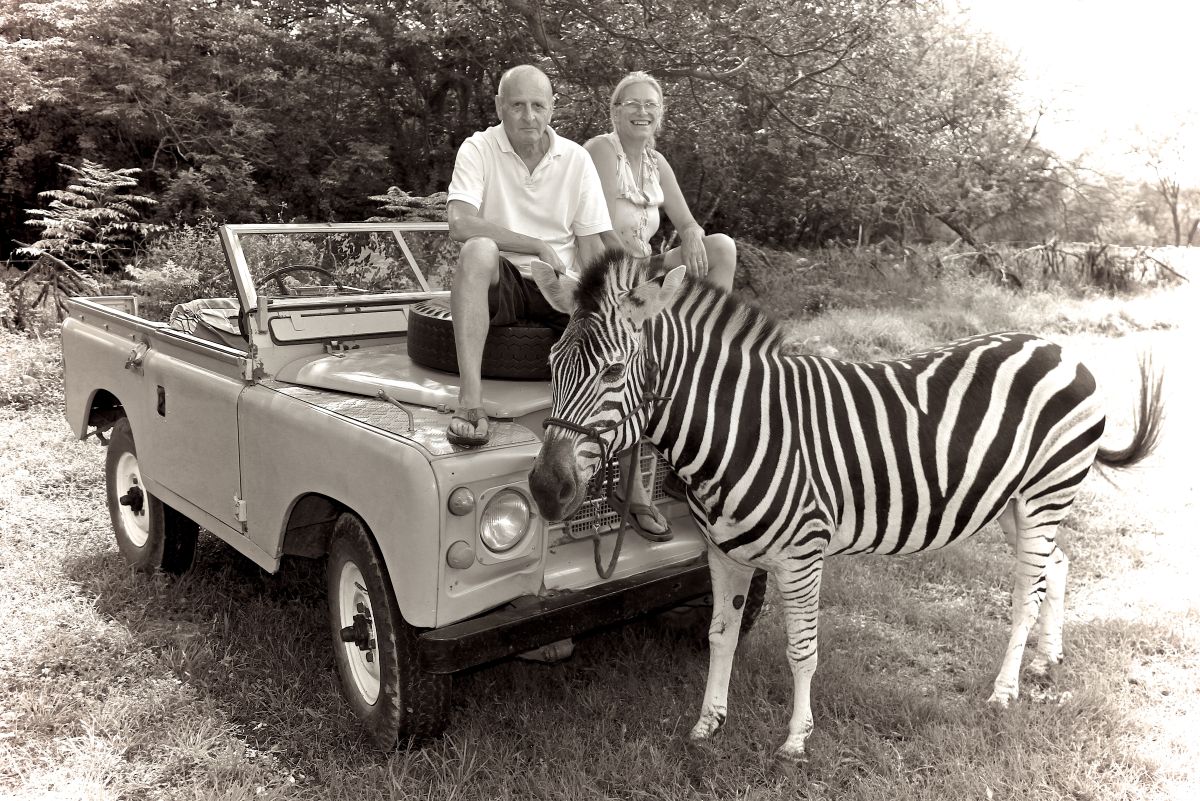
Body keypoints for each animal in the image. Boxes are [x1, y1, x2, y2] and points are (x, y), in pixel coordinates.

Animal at [527, 250, 1163, 763]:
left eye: (613, 370)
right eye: (551, 362)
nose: (544, 490)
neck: (743, 426)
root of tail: (1056, 346)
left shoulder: (802, 555)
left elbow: (801, 649)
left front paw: (796, 740)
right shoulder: (723, 552)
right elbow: (719, 636)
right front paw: (707, 725)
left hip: (1043, 493)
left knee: (1026, 594)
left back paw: (1004, 692)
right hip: (1015, 502)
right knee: (1057, 566)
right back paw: (1045, 662)